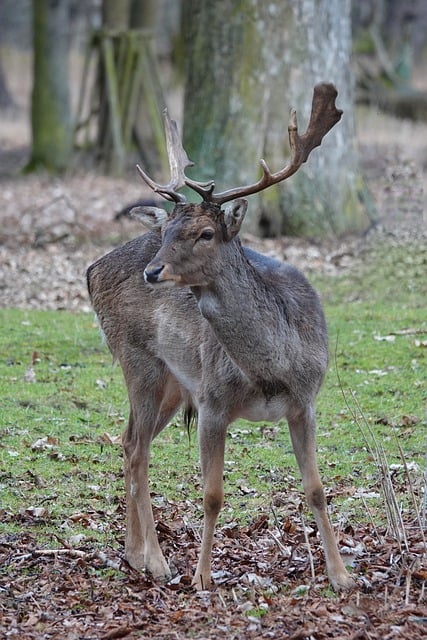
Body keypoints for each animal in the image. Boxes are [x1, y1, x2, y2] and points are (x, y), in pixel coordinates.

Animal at [86, 82, 354, 592]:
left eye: (206, 232)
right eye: (169, 230)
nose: (153, 271)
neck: (271, 371)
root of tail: (91, 269)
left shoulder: (306, 401)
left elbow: (316, 488)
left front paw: (342, 576)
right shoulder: (212, 401)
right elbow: (212, 494)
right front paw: (202, 577)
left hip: (174, 383)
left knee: (129, 441)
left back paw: (133, 554)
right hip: (137, 358)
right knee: (139, 448)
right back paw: (157, 562)